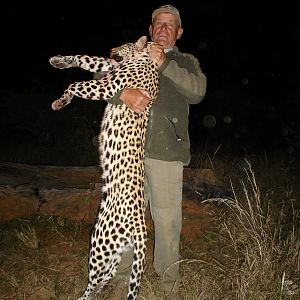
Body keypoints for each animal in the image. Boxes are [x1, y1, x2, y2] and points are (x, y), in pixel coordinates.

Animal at [49, 35, 159, 300]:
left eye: (123, 44)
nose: (111, 49)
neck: (146, 59)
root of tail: (141, 229)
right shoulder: (109, 68)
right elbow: (87, 59)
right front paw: (58, 61)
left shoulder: (109, 86)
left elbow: (75, 84)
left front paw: (61, 101)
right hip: (116, 252)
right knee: (106, 277)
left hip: (99, 242)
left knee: (94, 280)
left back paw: (80, 297)